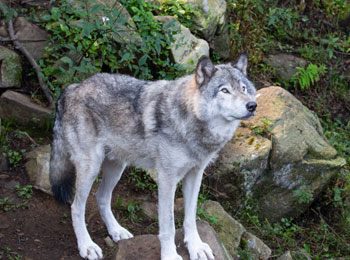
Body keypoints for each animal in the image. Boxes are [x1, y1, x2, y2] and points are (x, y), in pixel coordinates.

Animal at [49, 53, 258, 260]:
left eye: (243, 88)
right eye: (224, 90)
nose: (252, 105)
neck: (190, 120)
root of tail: (73, 87)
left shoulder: (195, 175)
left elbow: (191, 217)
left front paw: (196, 247)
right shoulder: (167, 179)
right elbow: (169, 225)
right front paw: (171, 255)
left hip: (117, 167)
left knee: (101, 197)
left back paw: (117, 231)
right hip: (91, 167)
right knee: (76, 207)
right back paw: (87, 246)